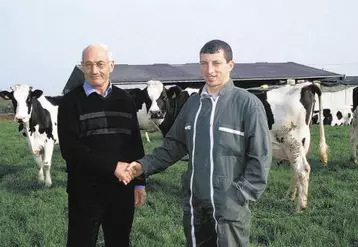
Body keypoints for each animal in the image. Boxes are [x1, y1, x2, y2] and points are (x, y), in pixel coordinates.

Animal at [249, 81, 328, 212]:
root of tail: (305, 85)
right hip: (298, 147)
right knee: (296, 170)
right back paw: (289, 198)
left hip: (292, 142)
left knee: (302, 170)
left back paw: (300, 207)